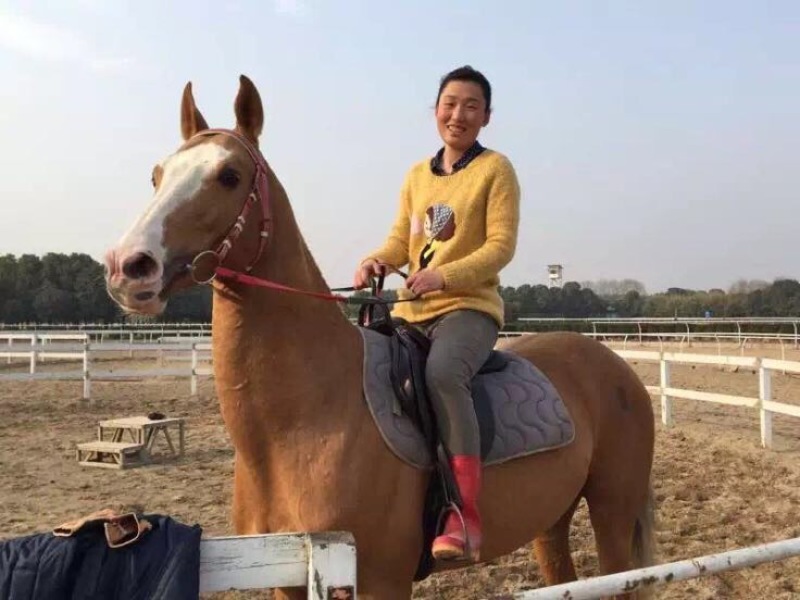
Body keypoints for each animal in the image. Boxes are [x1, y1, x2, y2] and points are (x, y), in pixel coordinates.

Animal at [103, 75, 656, 600]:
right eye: (157, 175)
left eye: (229, 176)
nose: (128, 267)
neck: (306, 418)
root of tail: (615, 367)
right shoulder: (284, 575)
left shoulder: (381, 581)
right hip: (552, 521)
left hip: (612, 512)